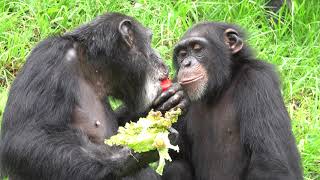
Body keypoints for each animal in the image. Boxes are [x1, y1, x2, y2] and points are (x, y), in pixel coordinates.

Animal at [0, 13, 189, 180]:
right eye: (149, 41)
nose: (161, 59)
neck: (91, 67)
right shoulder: (48, 59)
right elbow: (25, 138)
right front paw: (130, 153)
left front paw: (171, 100)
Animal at [165, 22, 302, 180]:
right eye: (182, 54)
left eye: (197, 48)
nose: (186, 63)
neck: (220, 87)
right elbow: (175, 154)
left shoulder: (259, 80)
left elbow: (272, 164)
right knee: (176, 167)